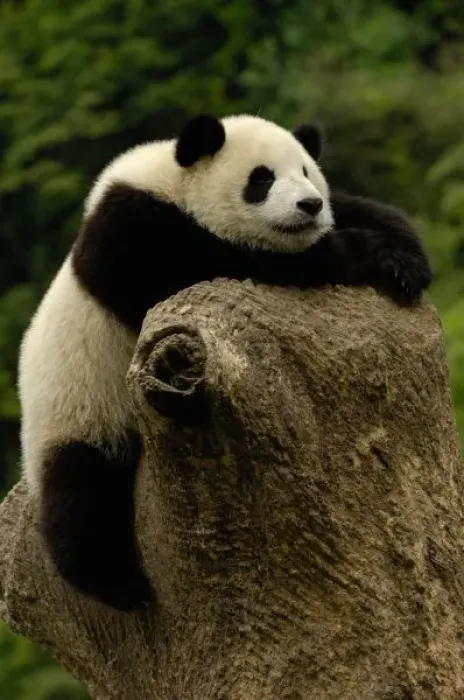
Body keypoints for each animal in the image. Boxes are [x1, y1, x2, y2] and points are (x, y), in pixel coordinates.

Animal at [18, 113, 432, 611]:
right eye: (261, 179)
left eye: (307, 172)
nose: (309, 205)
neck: (172, 183)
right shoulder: (132, 236)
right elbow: (214, 264)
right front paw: (362, 254)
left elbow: (360, 211)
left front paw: (404, 257)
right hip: (78, 413)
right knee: (82, 498)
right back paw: (120, 585)